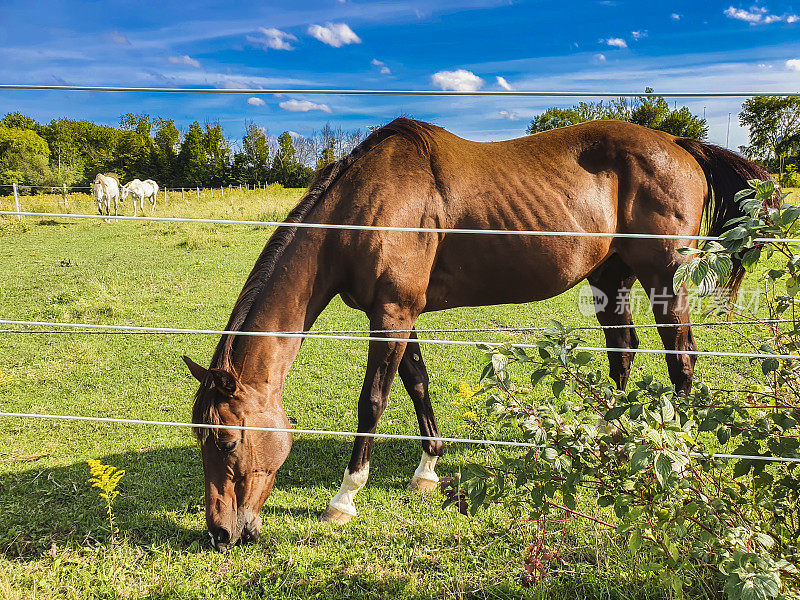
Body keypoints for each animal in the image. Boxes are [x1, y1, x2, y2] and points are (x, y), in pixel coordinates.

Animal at [181, 117, 768, 548]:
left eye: (227, 442)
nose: (221, 533)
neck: (361, 208)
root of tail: (677, 143)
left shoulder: (392, 315)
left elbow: (373, 401)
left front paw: (344, 499)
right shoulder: (397, 315)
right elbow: (417, 385)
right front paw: (426, 472)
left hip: (666, 277)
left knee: (680, 357)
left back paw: (678, 450)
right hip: (612, 277)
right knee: (623, 352)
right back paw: (613, 438)